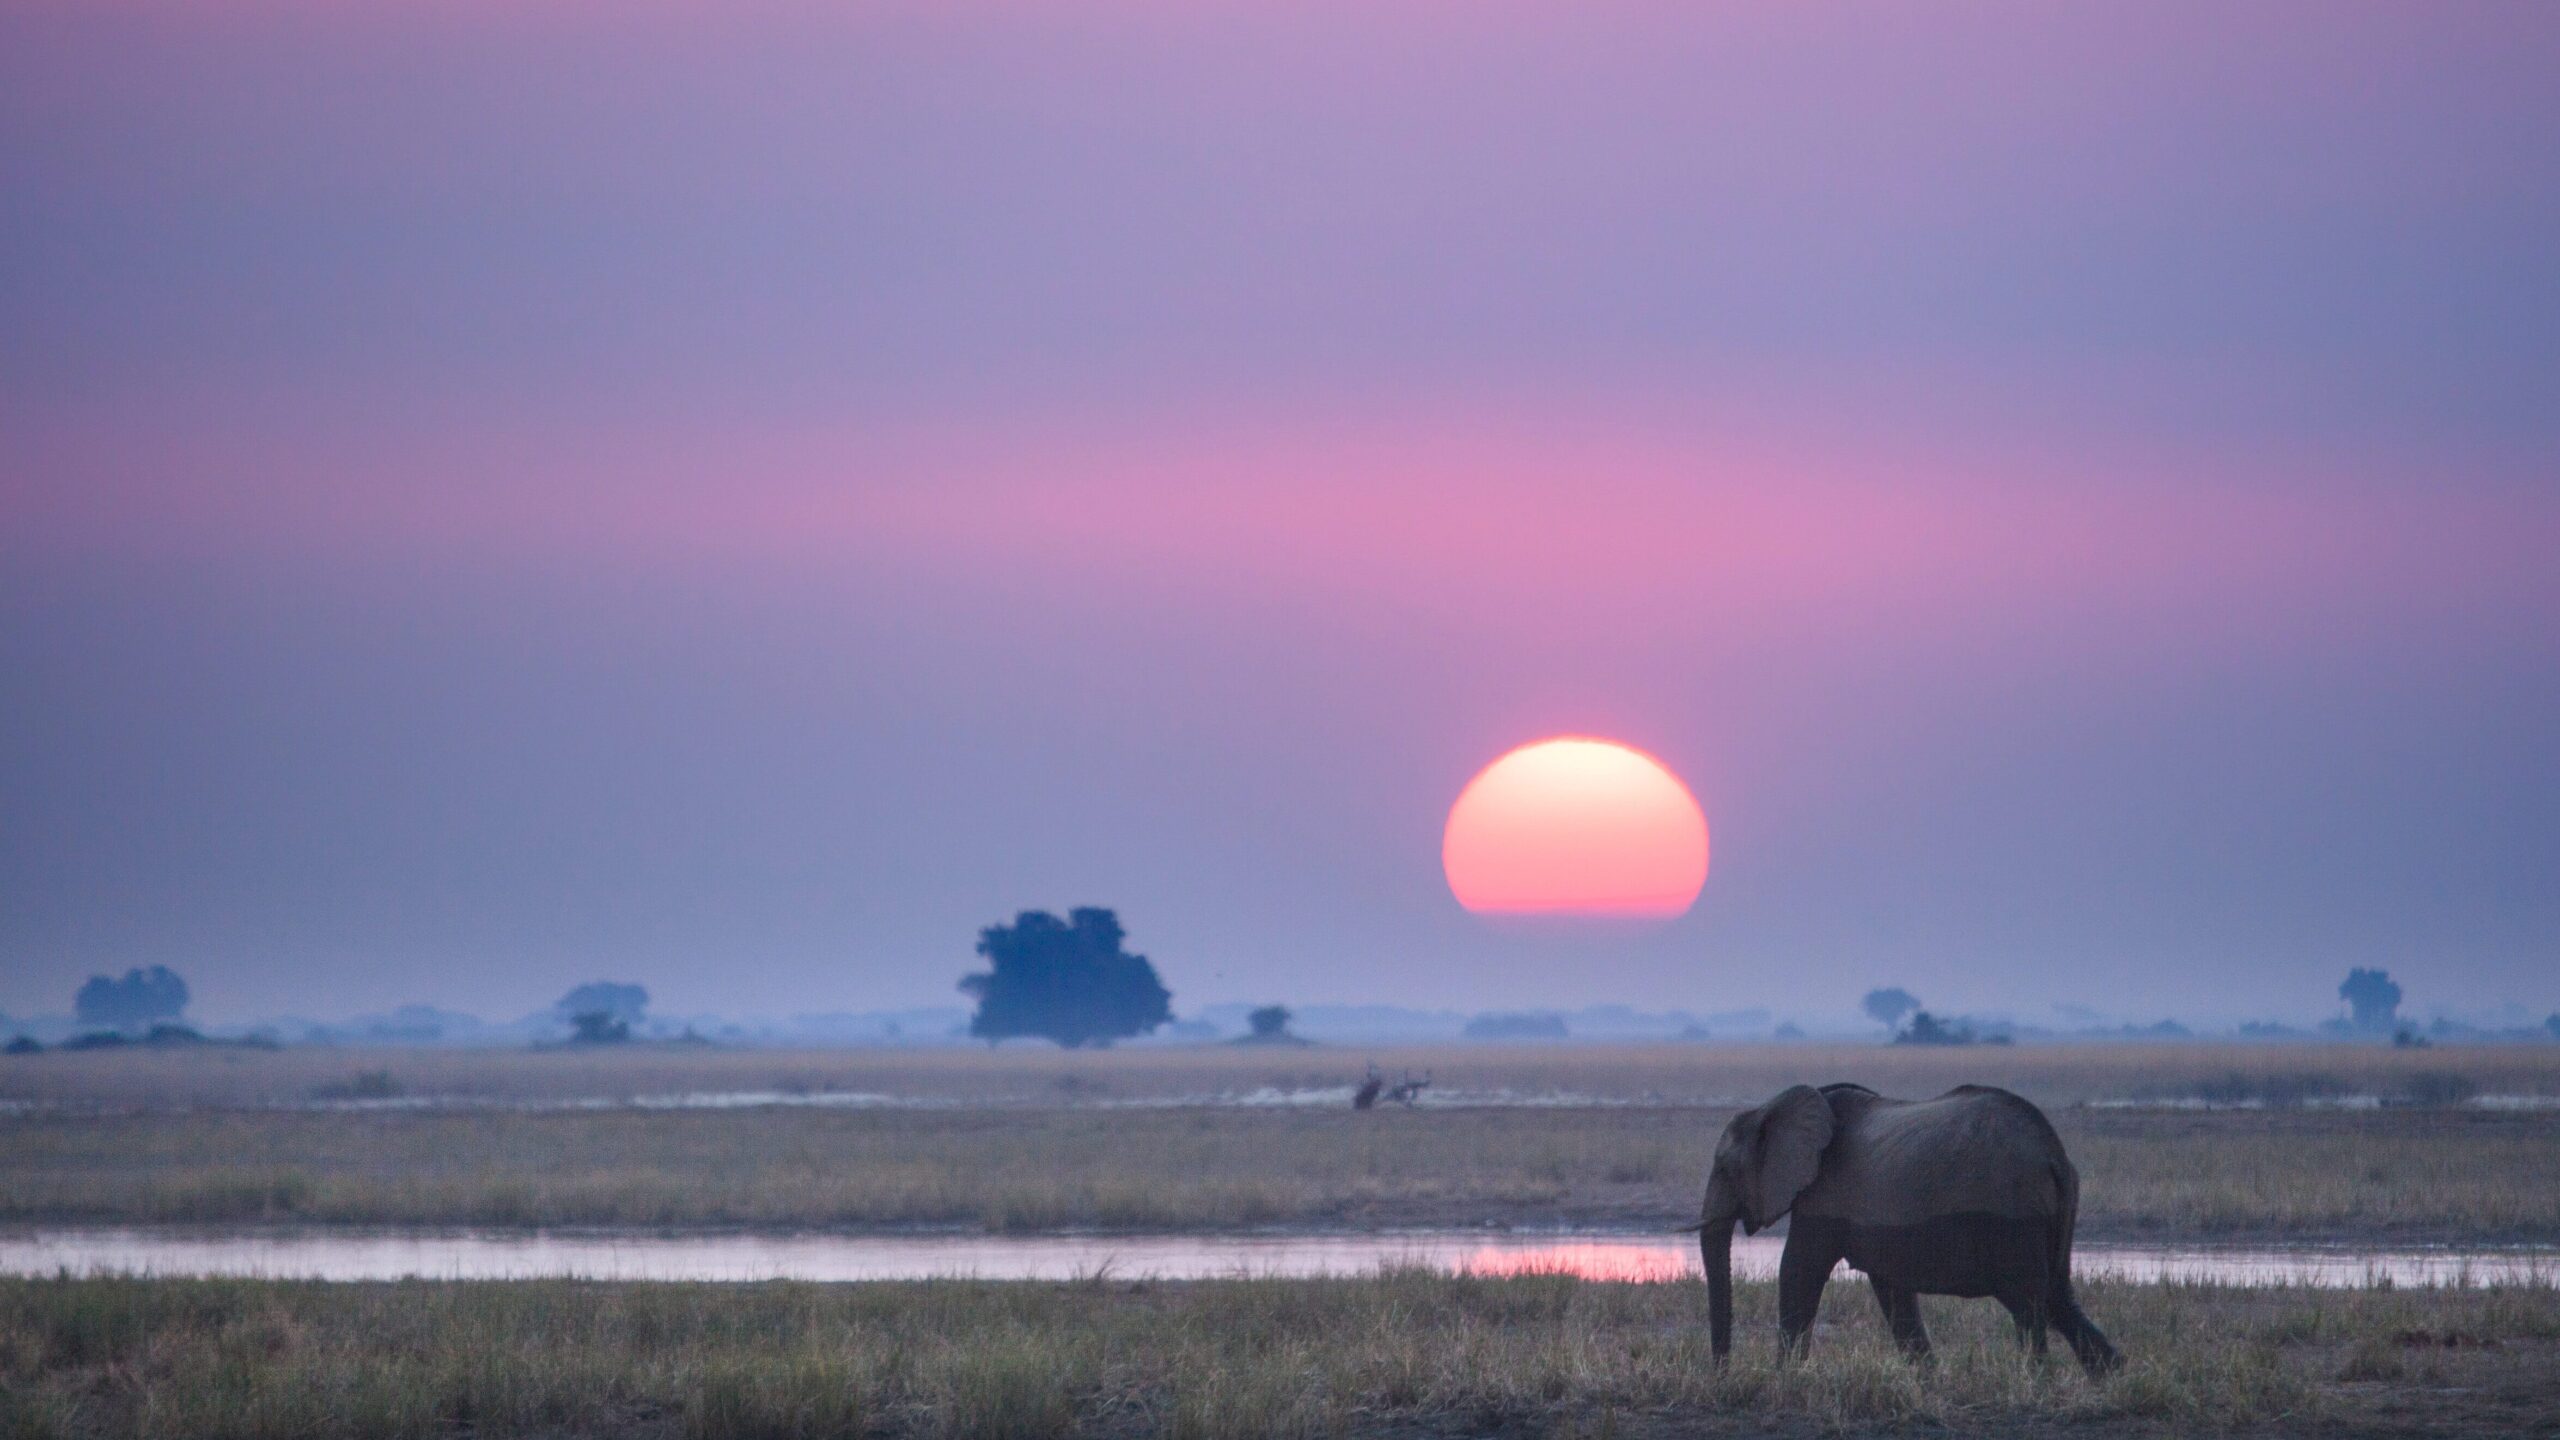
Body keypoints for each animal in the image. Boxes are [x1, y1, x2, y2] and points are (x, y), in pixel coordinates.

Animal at [1694, 1082, 2120, 1375]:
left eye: (1726, 1170)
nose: (1722, 1373)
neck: (1770, 1106)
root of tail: (2053, 1154)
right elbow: (1893, 1291)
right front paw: (1931, 1380)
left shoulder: (1823, 1196)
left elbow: (1800, 1270)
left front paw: (1783, 1378)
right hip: (2056, 1210)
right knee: (2057, 1297)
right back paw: (2110, 1376)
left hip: (2014, 1216)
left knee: (2029, 1304)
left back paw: (2038, 1382)